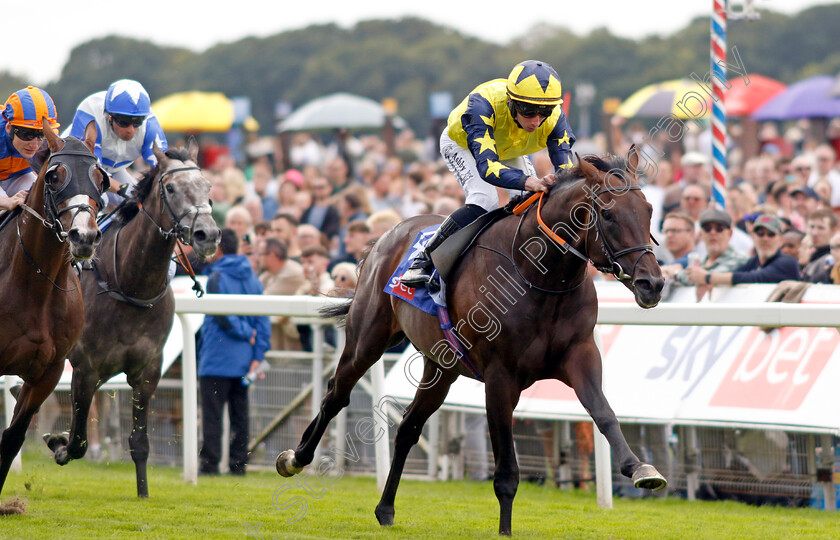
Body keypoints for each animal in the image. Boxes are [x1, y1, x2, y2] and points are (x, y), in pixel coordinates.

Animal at [44, 141, 218, 496]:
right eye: (170, 187)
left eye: (207, 186)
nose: (208, 234)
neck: (130, 283)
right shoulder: (86, 368)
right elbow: (79, 440)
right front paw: (59, 443)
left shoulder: (147, 370)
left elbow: (139, 441)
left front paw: (143, 492)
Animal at [278, 149, 668, 536]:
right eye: (608, 213)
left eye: (649, 209)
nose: (652, 283)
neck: (540, 275)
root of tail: (386, 236)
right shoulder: (500, 376)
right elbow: (506, 469)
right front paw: (505, 530)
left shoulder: (581, 356)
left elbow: (604, 413)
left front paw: (641, 469)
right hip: (367, 340)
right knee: (337, 394)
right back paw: (295, 459)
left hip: (441, 366)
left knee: (408, 427)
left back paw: (385, 508)